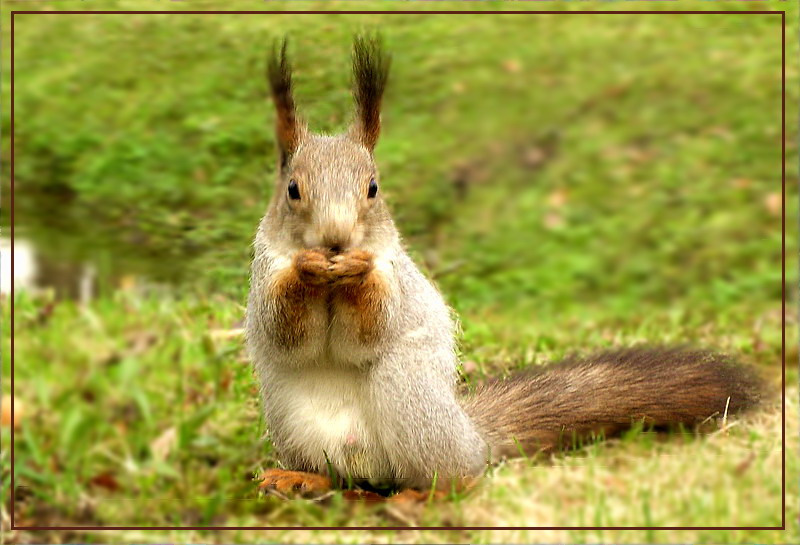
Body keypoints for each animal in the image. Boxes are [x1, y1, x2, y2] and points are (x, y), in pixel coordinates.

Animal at [245, 36, 763, 496]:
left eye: (373, 188)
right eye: (293, 189)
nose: (336, 241)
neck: (330, 284)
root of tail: (474, 440)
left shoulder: (397, 280)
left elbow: (370, 330)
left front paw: (358, 268)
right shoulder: (264, 272)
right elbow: (284, 330)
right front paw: (306, 268)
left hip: (409, 400)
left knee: (448, 477)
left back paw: (428, 494)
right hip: (293, 423)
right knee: (341, 477)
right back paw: (302, 478)